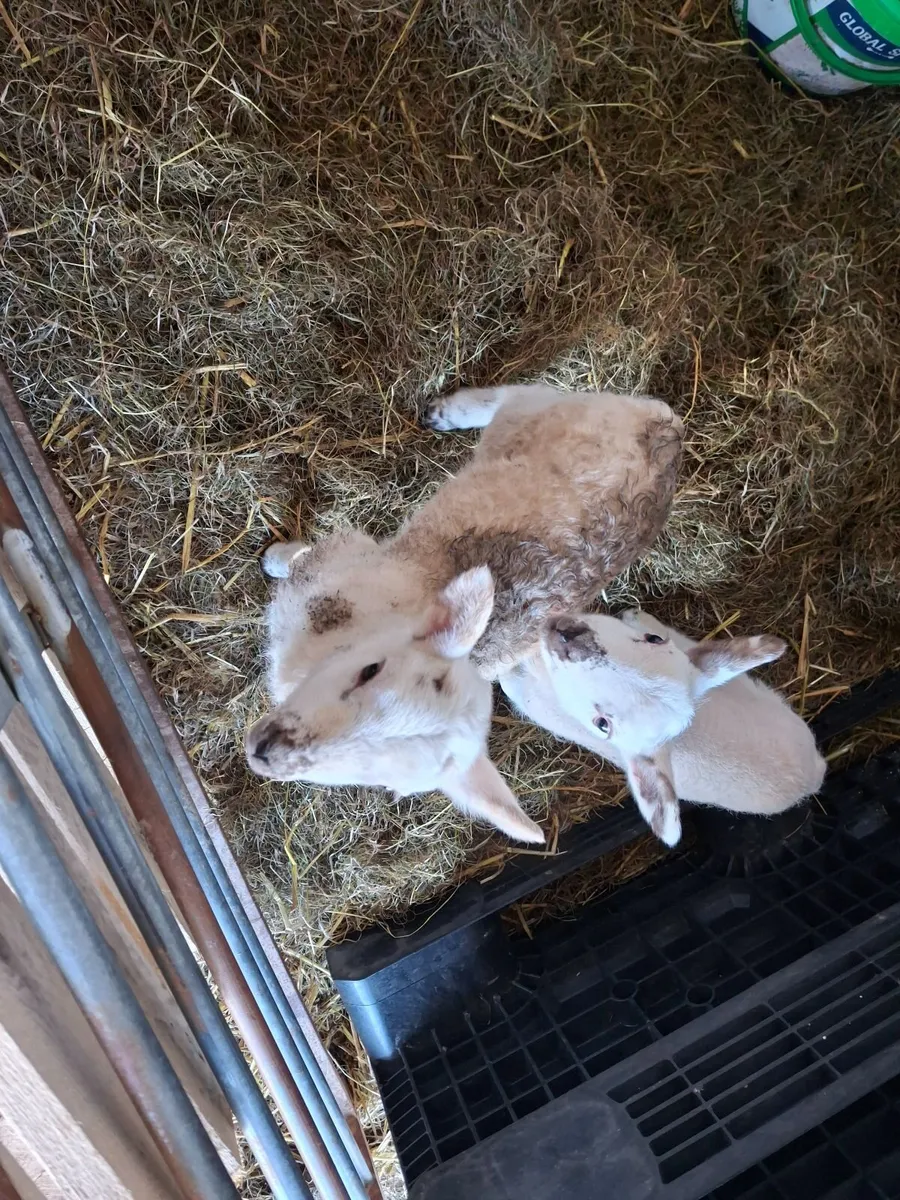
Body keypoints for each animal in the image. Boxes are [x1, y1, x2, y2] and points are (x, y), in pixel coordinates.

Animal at [245, 385, 683, 844]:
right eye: (370, 670)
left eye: (383, 779)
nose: (266, 751)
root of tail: (671, 431)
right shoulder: (337, 561)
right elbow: (300, 558)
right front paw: (274, 558)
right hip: (546, 412)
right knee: (515, 393)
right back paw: (448, 412)